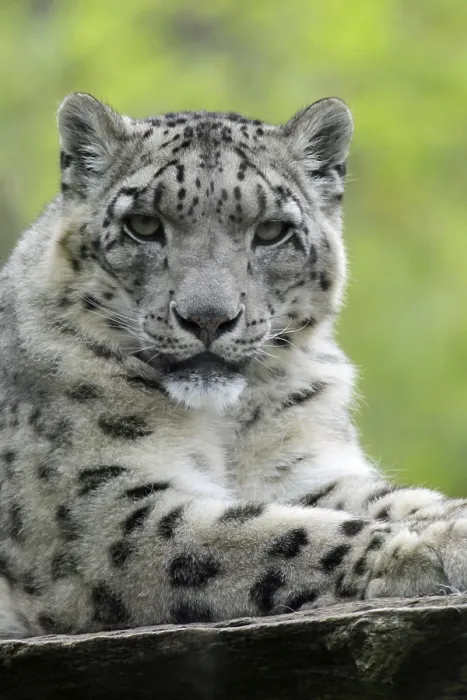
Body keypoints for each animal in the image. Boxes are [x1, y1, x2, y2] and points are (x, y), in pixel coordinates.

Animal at [0, 92, 465, 638]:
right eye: (143, 225)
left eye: (271, 231)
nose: (208, 318)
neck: (225, 426)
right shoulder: (100, 512)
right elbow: (266, 535)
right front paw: (417, 555)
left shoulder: (303, 470)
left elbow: (390, 498)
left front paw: (451, 529)